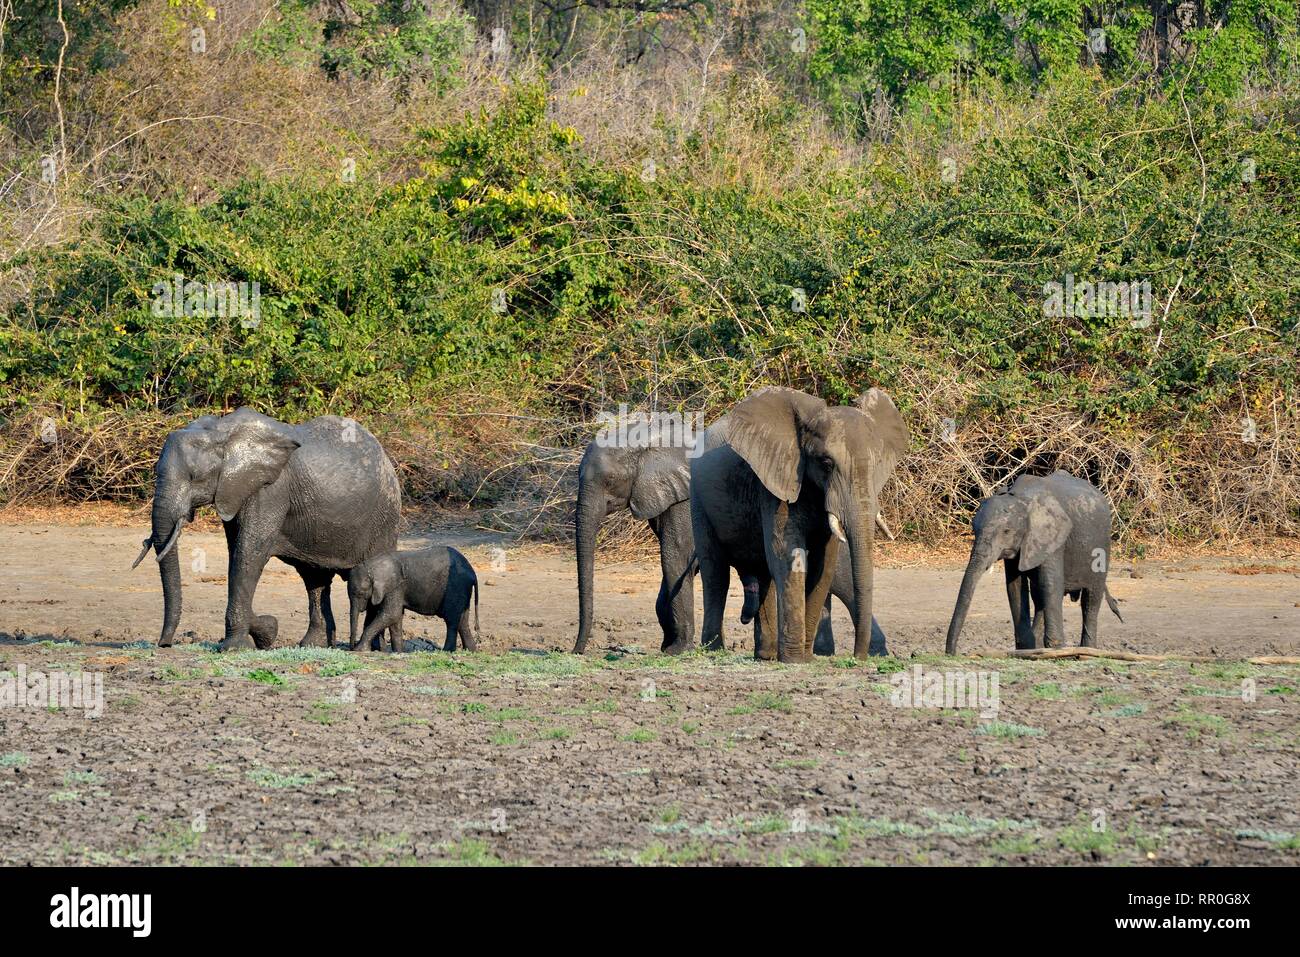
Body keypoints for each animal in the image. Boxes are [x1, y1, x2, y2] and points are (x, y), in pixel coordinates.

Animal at [133, 408, 400, 655]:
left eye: (194, 476)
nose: (164, 644)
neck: (222, 432)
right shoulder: (235, 490)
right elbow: (236, 553)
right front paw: (266, 631)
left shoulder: (270, 491)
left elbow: (249, 553)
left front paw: (236, 647)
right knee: (315, 579)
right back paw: (313, 645)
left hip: (384, 517)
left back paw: (373, 648)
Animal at [348, 546, 480, 650]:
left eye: (360, 593)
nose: (351, 647)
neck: (373, 566)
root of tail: (473, 573)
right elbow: (395, 618)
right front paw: (398, 652)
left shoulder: (395, 587)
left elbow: (391, 614)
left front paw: (359, 650)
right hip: (461, 591)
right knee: (462, 621)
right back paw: (471, 650)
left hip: (455, 587)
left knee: (452, 621)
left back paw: (447, 651)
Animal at [946, 473, 1118, 655]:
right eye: (974, 530)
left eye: (1006, 531)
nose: (953, 653)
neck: (1021, 499)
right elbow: (1014, 586)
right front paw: (1026, 649)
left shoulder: (1052, 536)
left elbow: (1050, 584)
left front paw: (1057, 649)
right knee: (1039, 596)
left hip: (1102, 545)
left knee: (1090, 599)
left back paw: (1088, 648)